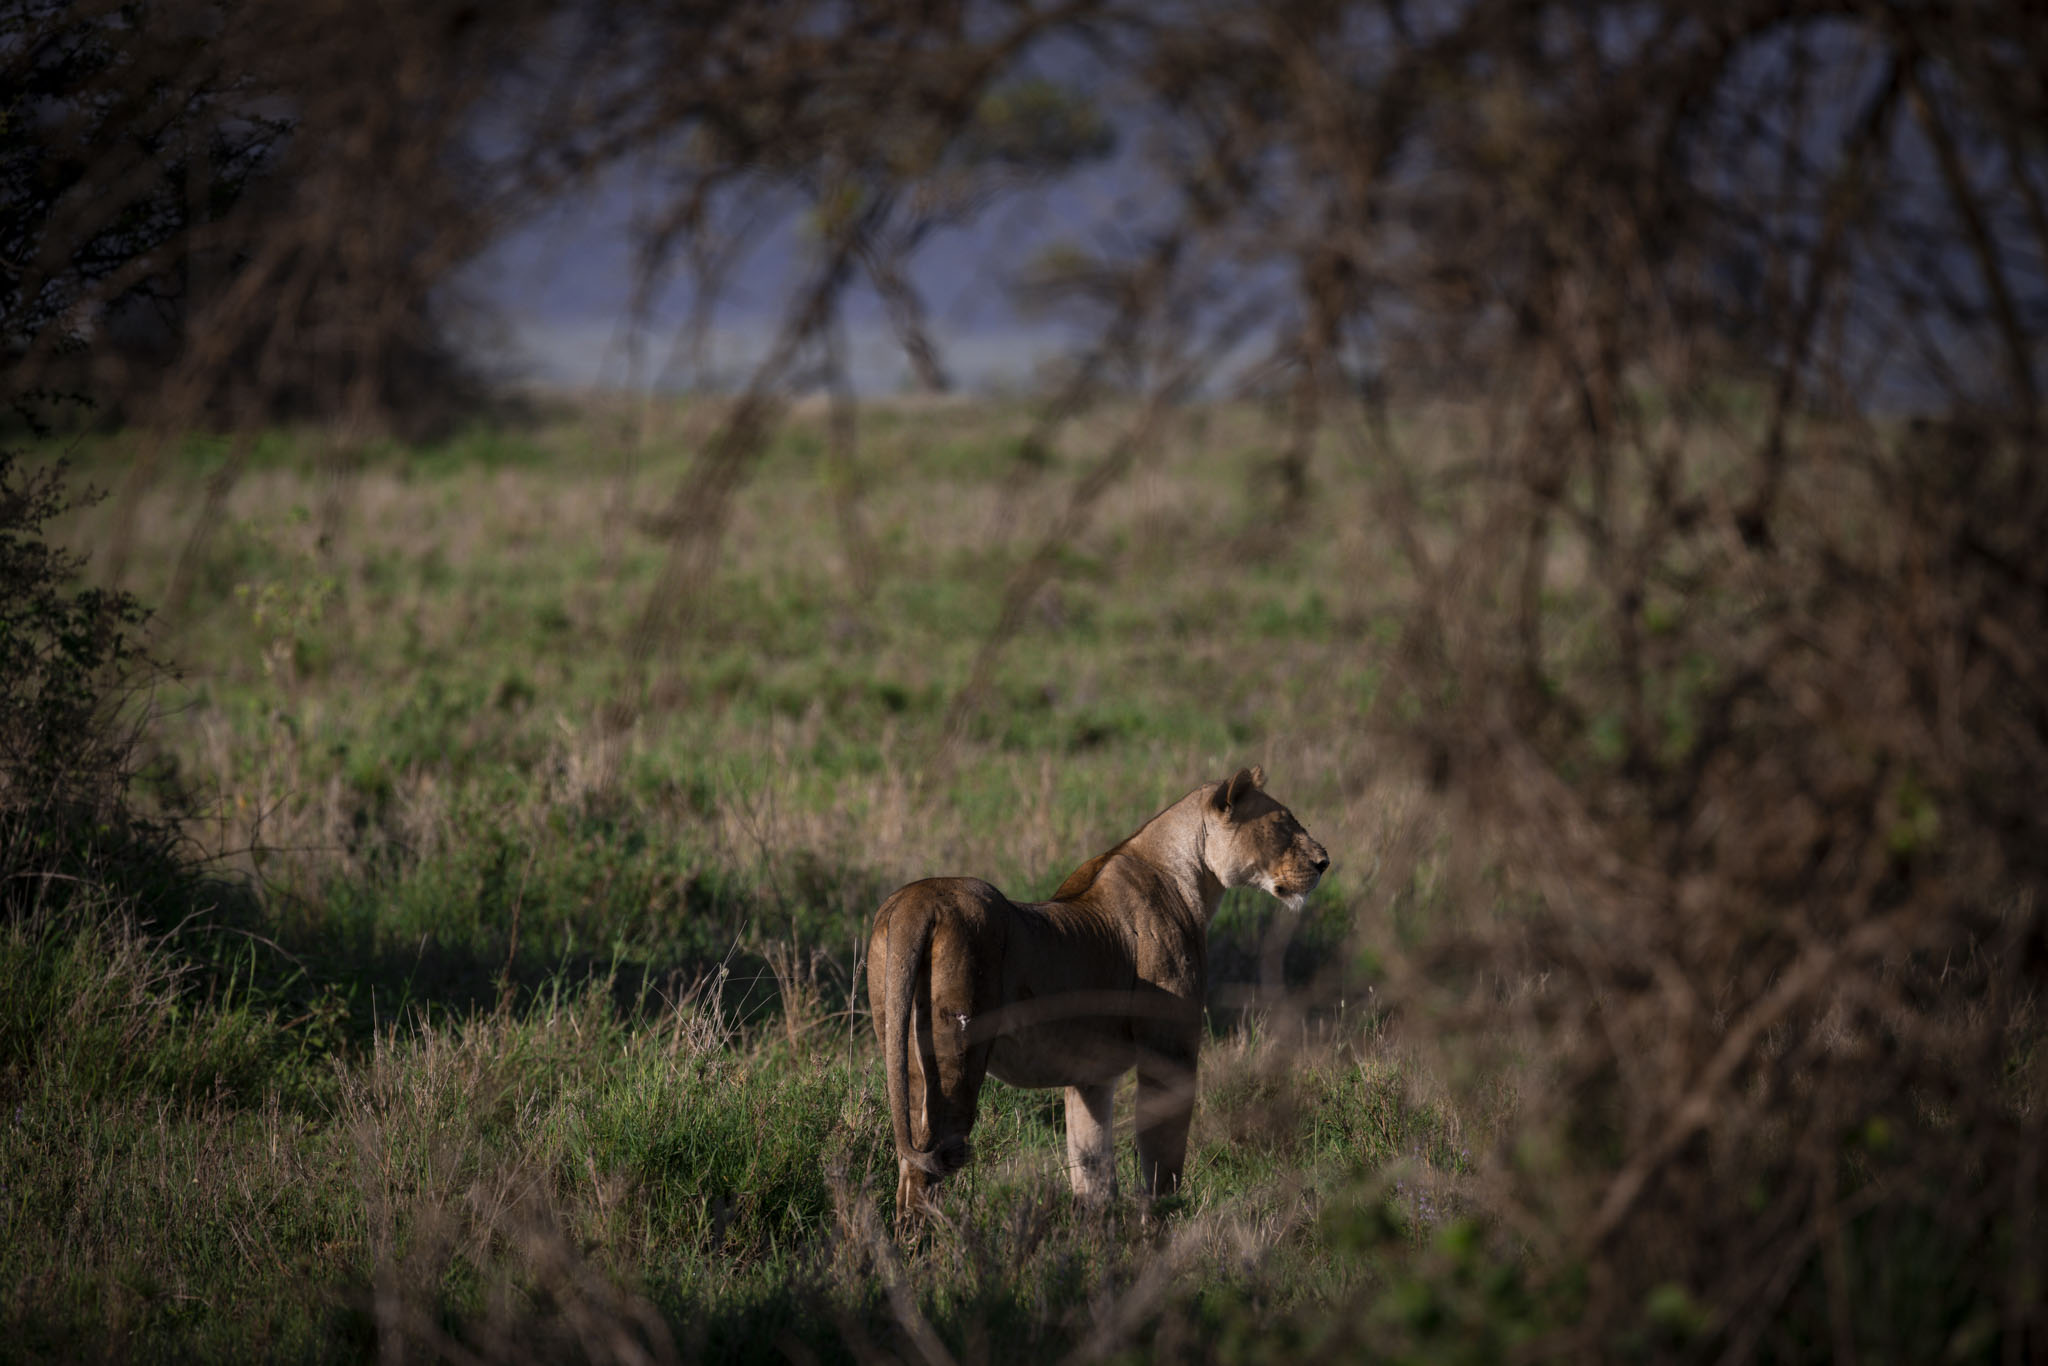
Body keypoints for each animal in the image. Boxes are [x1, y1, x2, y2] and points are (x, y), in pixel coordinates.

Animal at [866, 766, 1329, 1228]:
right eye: (1282, 824)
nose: (1324, 862)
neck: (1189, 874)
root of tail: (915, 903)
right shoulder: (1170, 1053)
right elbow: (1162, 1158)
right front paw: (1160, 1227)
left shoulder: (1089, 1076)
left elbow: (1093, 1170)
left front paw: (1097, 1234)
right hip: (956, 1055)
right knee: (928, 1169)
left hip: (903, 1051)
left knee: (909, 1162)